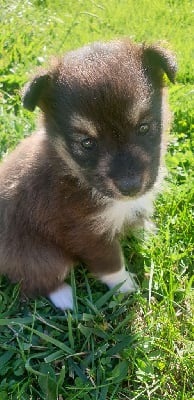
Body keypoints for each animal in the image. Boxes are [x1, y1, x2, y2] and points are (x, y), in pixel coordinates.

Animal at [0, 39, 177, 310]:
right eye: (87, 143)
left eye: (144, 127)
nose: (131, 187)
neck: (75, 174)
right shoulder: (85, 232)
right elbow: (111, 264)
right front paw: (126, 287)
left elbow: (136, 216)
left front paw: (145, 231)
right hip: (36, 253)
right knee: (35, 278)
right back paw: (65, 298)